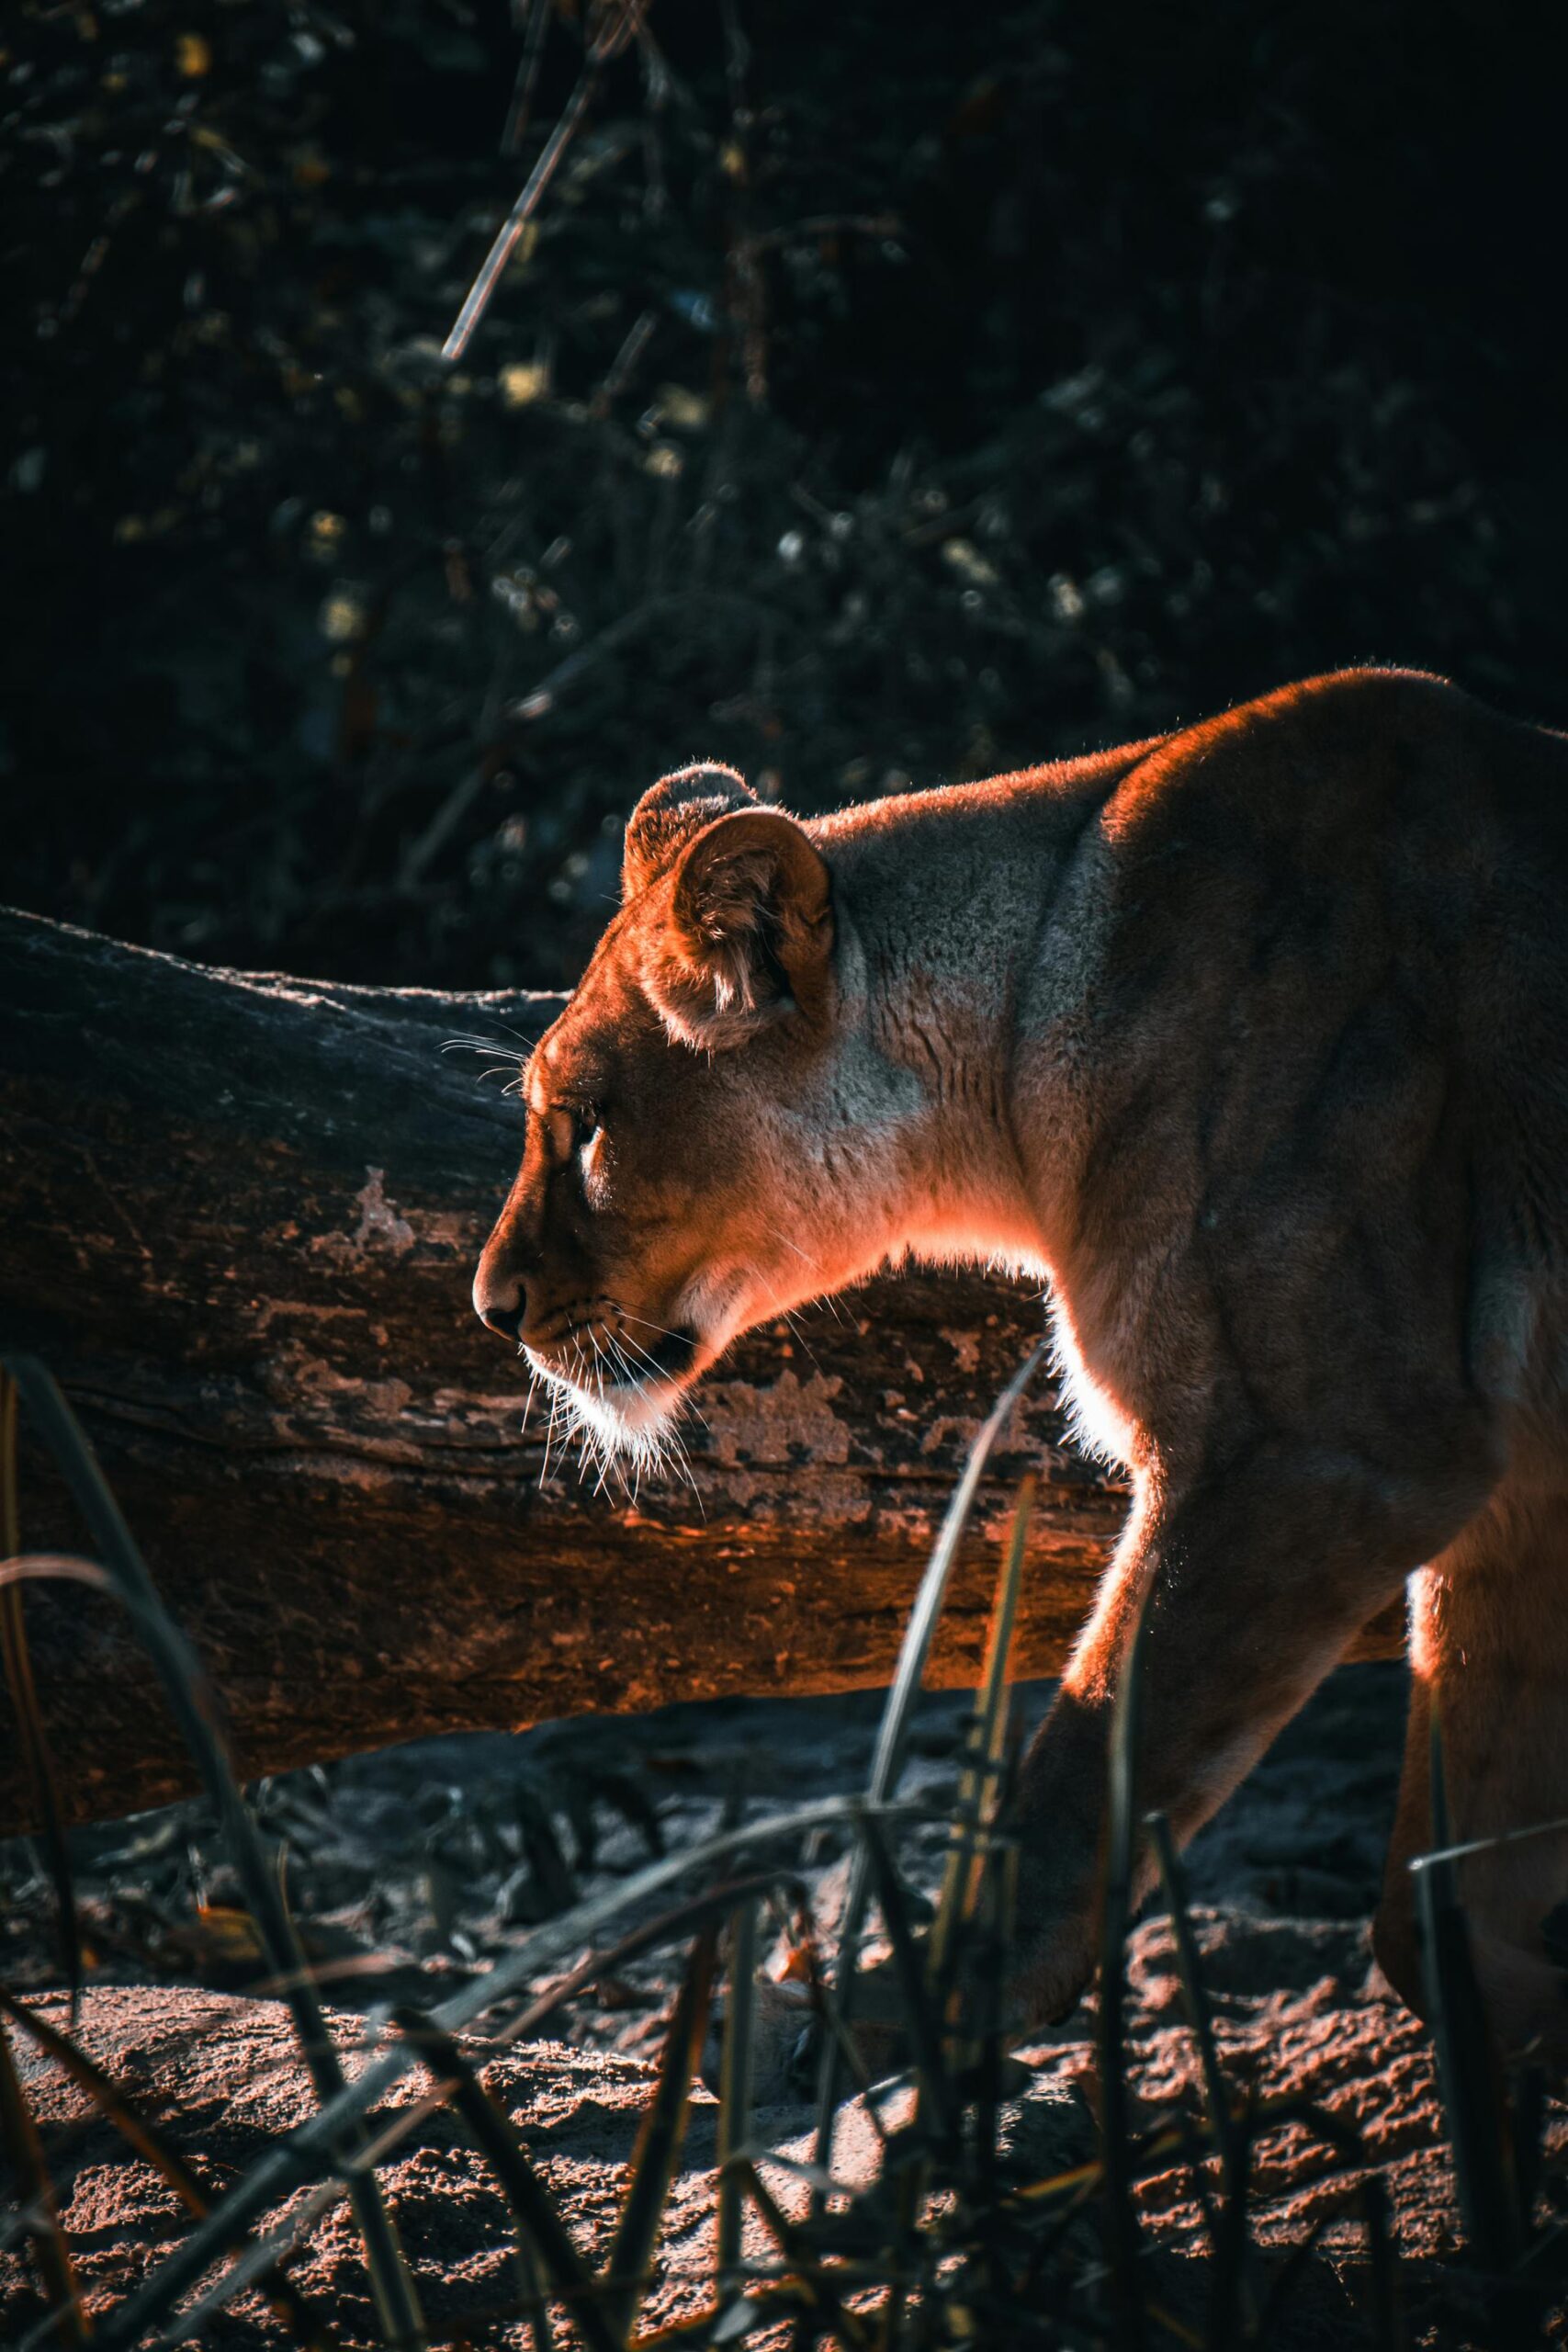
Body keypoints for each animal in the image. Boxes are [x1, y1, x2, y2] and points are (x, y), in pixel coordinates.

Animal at [473, 668, 1568, 2064]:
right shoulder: (1514, 1500)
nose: (491, 1308)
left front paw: (901, 2005)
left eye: (587, 1124)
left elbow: (1080, 1780)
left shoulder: (1328, 1449)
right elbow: (1450, 1915)